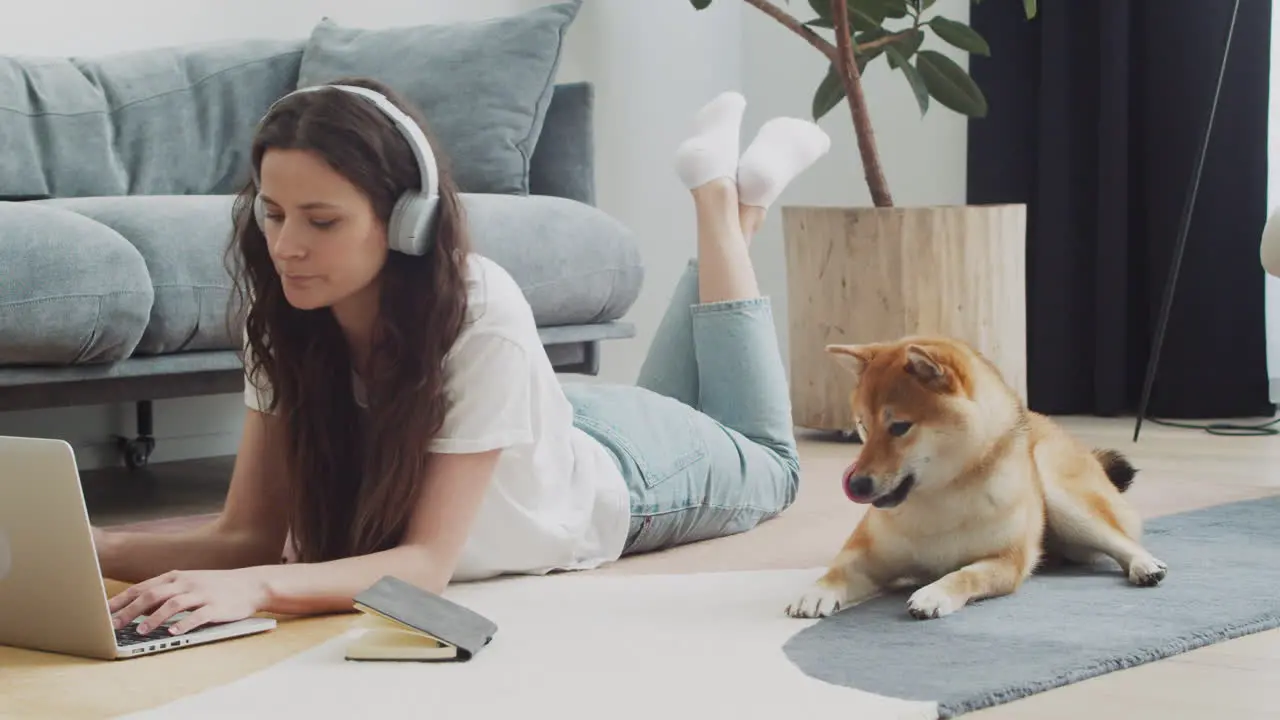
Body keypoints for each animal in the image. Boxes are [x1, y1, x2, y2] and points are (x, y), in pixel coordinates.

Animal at [783, 333, 1167, 620]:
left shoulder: (1007, 560)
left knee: (1121, 539)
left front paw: (934, 593)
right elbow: (838, 569)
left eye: (900, 427)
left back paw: (1145, 564)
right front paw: (815, 592)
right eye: (862, 426)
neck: (939, 499)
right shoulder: (869, 553)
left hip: (1063, 498)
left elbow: (965, 575)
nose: (856, 484)